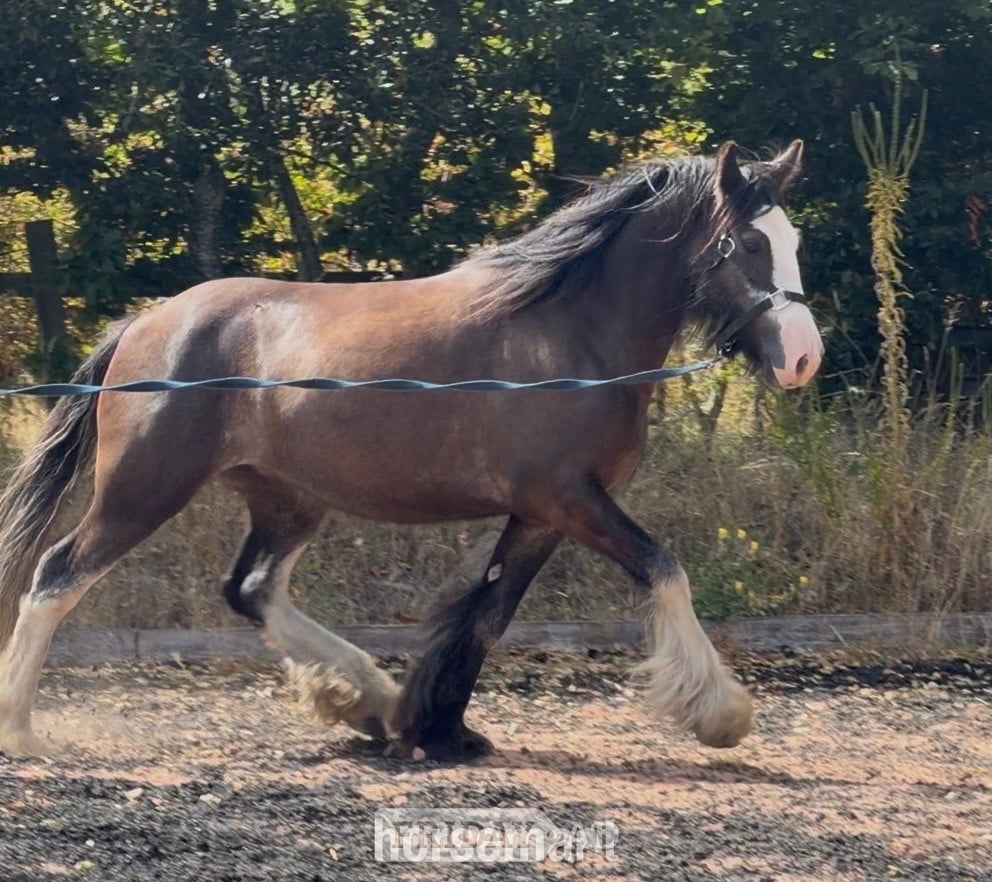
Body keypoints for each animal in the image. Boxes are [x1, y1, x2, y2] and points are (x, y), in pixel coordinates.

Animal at [0, 140, 821, 761]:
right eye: (750, 242)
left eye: (795, 243)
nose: (804, 358)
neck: (573, 335)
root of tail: (144, 324)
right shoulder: (568, 498)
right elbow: (663, 568)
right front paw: (719, 713)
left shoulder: (542, 514)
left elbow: (487, 614)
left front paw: (440, 728)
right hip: (144, 489)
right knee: (56, 575)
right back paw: (20, 729)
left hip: (286, 498)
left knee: (253, 588)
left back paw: (366, 699)